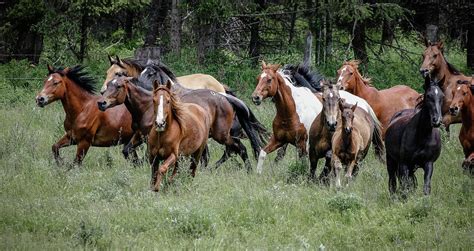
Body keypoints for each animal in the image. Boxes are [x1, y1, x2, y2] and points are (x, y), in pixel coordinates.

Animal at [252, 61, 382, 174]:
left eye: (269, 79)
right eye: (258, 78)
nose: (255, 97)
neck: (291, 112)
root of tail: (364, 104)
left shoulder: (303, 145)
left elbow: (304, 165)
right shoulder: (278, 140)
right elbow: (264, 153)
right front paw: (258, 174)